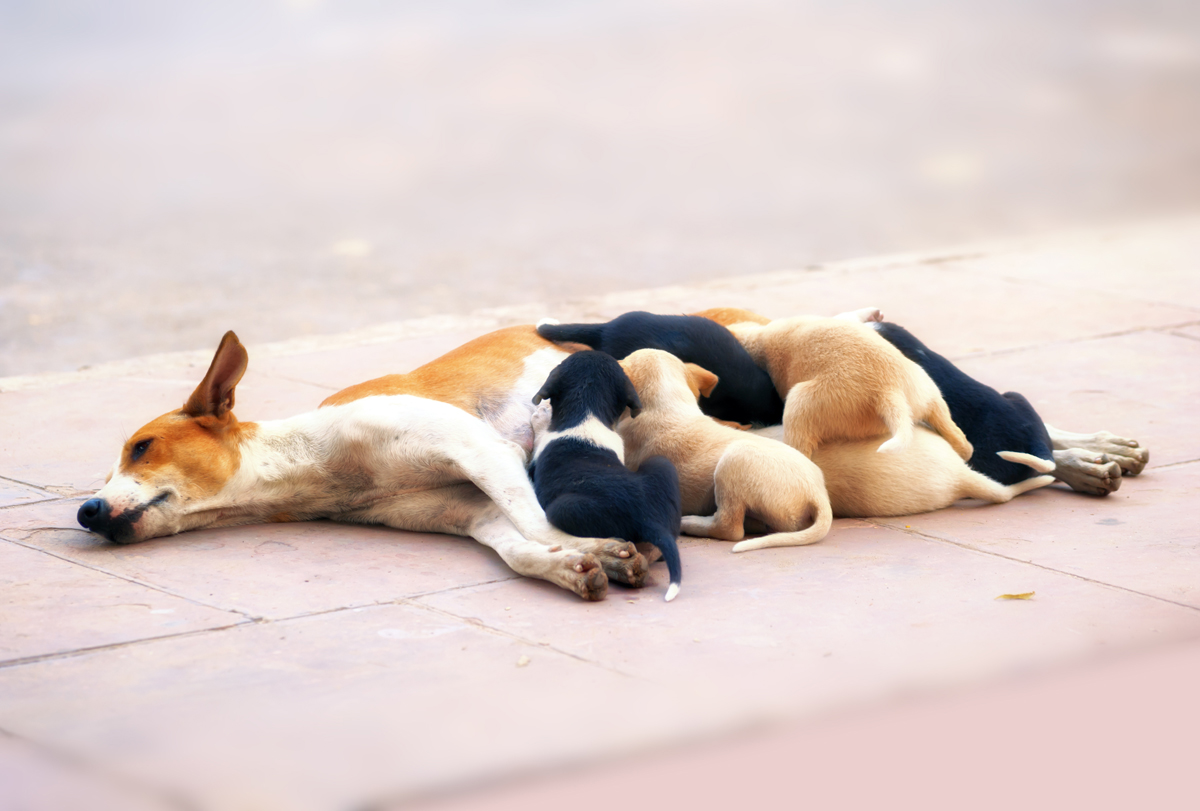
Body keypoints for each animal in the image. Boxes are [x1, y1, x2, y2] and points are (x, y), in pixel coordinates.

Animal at [724, 314, 969, 463]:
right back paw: (962, 451)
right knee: (959, 437)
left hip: (803, 402)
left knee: (802, 451)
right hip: (928, 392)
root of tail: (889, 390)